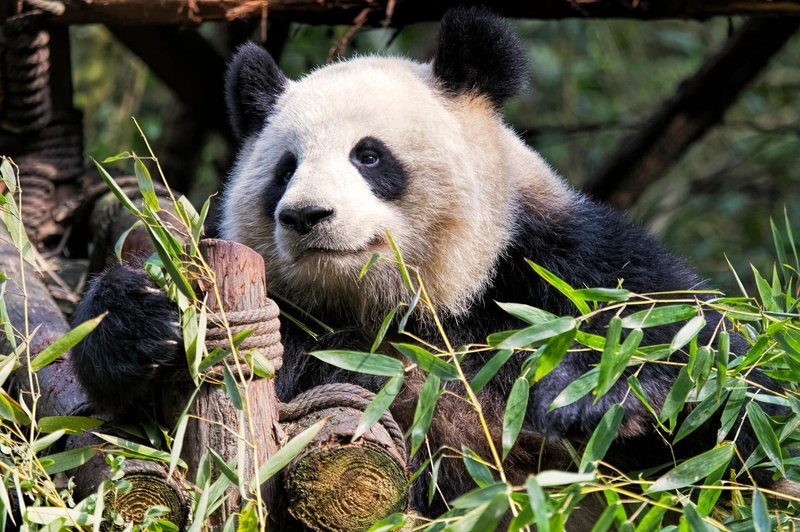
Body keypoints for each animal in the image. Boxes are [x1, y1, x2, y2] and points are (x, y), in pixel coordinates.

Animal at [75, 6, 788, 520]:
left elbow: (735, 396)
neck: (405, 310)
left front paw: (605, 395)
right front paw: (136, 321)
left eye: (368, 156)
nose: (305, 215)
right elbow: (128, 436)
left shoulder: (560, 266)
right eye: (285, 169)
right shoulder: (308, 328)